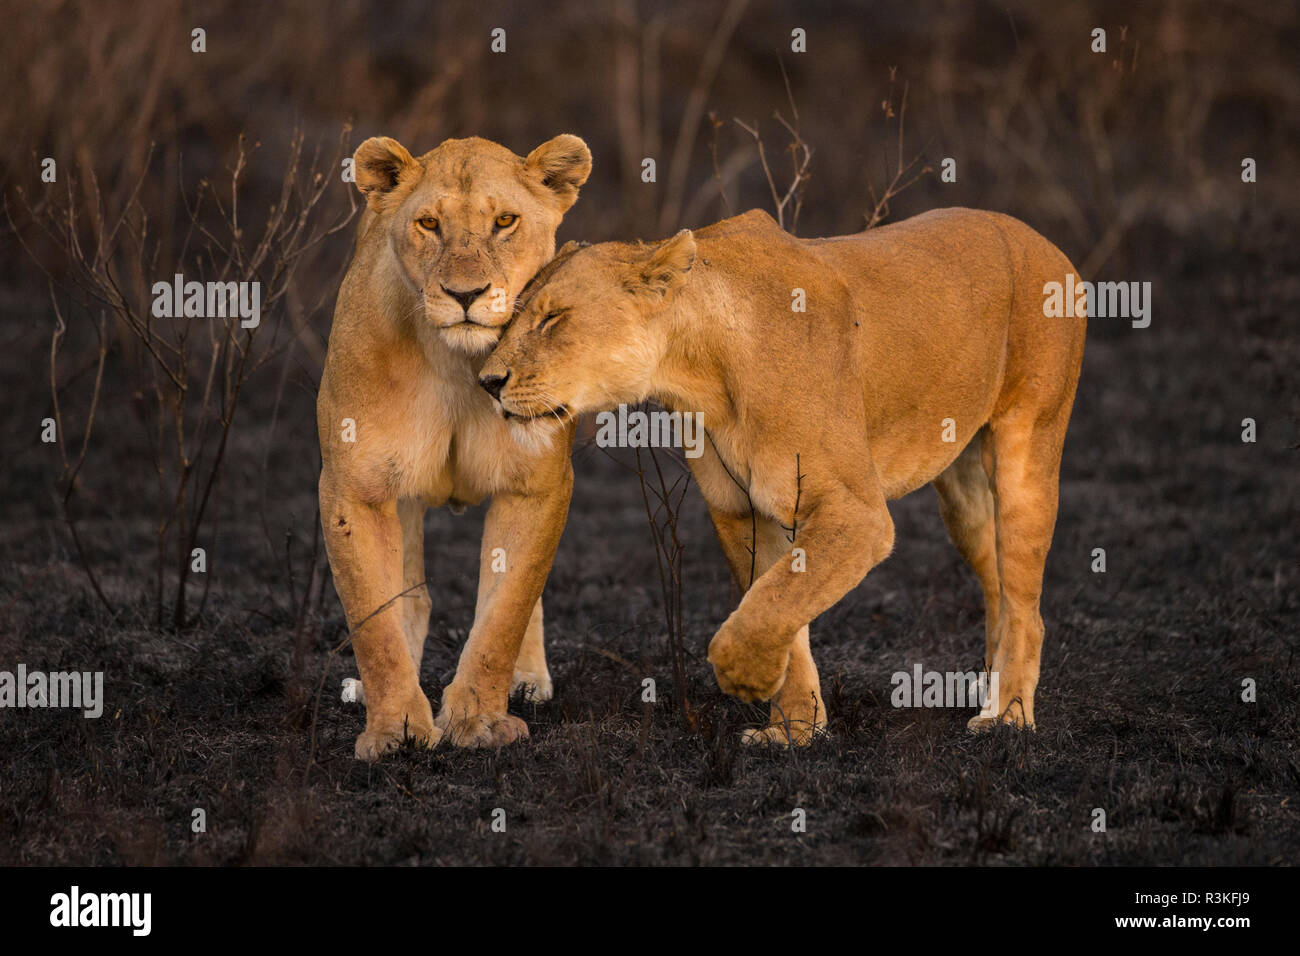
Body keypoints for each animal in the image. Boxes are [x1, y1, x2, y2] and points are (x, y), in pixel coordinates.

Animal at [318, 134, 590, 764]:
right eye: (429, 224)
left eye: (505, 222)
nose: (466, 294)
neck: (460, 365)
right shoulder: (353, 487)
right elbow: (375, 616)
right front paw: (395, 729)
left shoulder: (537, 484)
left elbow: (507, 608)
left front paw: (481, 721)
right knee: (409, 597)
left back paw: (527, 681)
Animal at [478, 210, 1086, 749]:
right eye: (511, 319)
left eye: (554, 318)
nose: (488, 381)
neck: (699, 373)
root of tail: (1042, 240)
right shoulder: (741, 510)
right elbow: (775, 602)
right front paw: (794, 730)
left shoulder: (855, 513)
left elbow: (773, 602)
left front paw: (744, 677)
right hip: (961, 493)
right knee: (997, 584)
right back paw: (989, 689)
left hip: (1028, 449)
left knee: (1027, 605)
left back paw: (1007, 717)